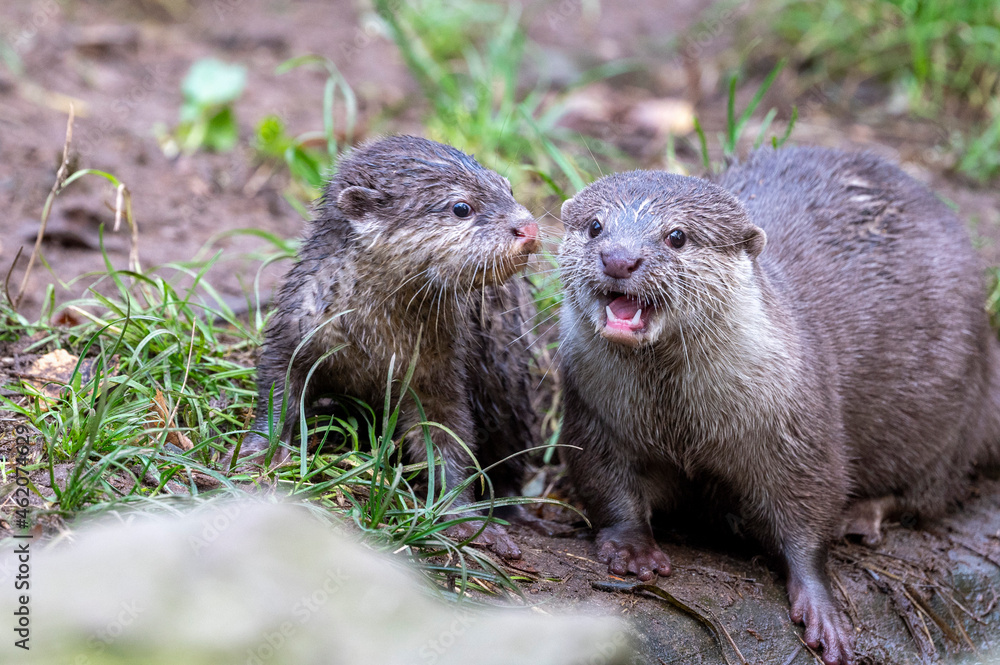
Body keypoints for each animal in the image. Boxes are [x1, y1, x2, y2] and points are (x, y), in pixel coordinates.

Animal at [235, 135, 541, 558]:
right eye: (461, 207)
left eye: (508, 188)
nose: (527, 227)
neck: (374, 341)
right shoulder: (293, 331)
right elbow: (276, 394)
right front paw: (258, 455)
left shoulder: (441, 370)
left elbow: (450, 440)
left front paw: (465, 517)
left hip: (509, 384)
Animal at [557, 147, 1000, 664]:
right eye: (595, 227)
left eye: (677, 236)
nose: (620, 258)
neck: (681, 425)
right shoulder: (596, 413)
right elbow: (606, 483)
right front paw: (632, 549)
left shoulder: (798, 427)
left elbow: (810, 510)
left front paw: (819, 604)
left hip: (955, 413)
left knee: (930, 491)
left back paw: (862, 515)